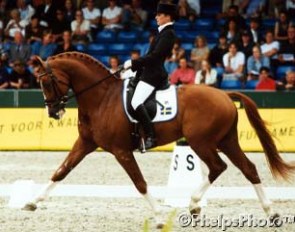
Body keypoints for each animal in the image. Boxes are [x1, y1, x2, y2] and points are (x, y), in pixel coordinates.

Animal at [24, 52, 294, 227]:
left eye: (46, 81)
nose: (53, 112)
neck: (101, 98)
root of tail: (225, 95)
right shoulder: (86, 143)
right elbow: (61, 171)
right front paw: (32, 202)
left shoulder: (121, 151)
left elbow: (139, 182)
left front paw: (158, 214)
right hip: (226, 140)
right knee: (248, 168)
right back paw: (270, 213)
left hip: (202, 142)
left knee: (219, 167)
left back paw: (194, 204)